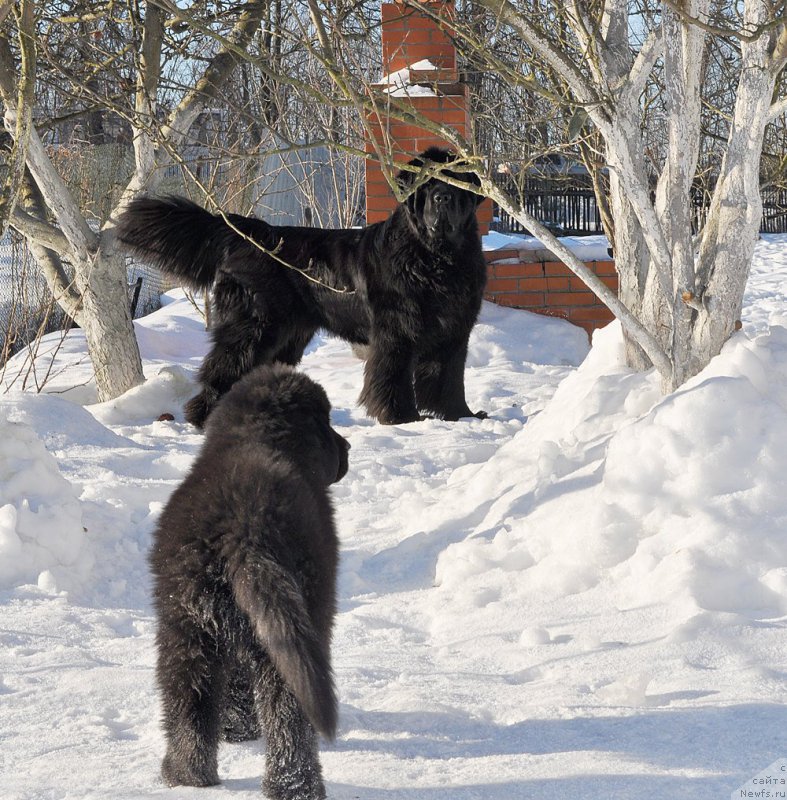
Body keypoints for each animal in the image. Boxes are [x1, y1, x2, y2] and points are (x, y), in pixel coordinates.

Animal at [117, 148, 486, 428]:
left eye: (454, 182)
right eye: (428, 183)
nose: (443, 196)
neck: (436, 259)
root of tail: (250, 233)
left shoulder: (455, 331)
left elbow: (450, 378)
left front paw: (462, 415)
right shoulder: (396, 332)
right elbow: (392, 377)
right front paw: (402, 418)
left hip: (286, 337)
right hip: (254, 328)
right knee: (223, 368)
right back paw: (204, 418)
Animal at [151, 364, 350, 800]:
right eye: (327, 422)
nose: (347, 448)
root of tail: (241, 530)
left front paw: (236, 731)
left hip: (186, 627)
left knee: (189, 703)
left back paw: (186, 777)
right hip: (294, 620)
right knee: (288, 718)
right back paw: (296, 787)